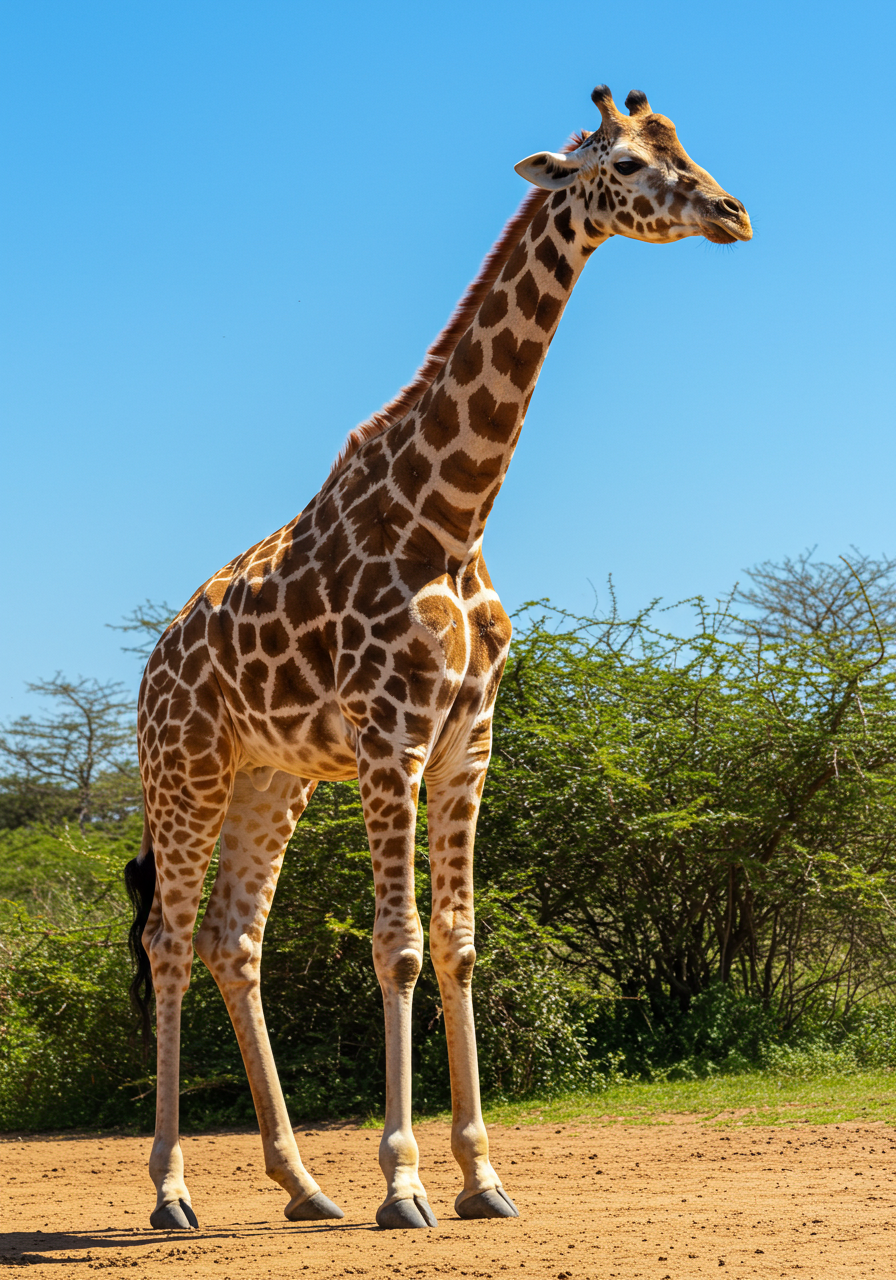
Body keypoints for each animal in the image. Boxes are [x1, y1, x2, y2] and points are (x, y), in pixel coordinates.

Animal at [125, 83, 751, 1233]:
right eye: (627, 165)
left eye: (682, 145)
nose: (732, 212)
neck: (450, 516)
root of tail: (152, 666)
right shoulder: (391, 740)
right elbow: (398, 945)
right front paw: (405, 1181)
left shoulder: (469, 741)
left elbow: (457, 942)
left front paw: (481, 1176)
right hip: (185, 768)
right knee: (169, 943)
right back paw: (173, 1191)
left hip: (269, 777)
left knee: (234, 940)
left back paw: (303, 1185)